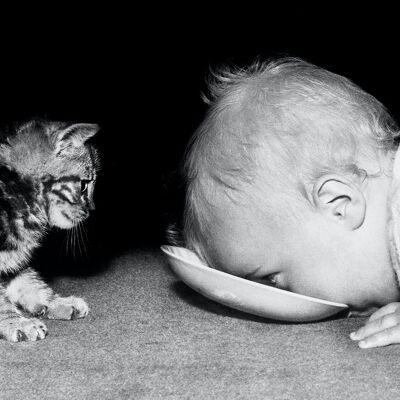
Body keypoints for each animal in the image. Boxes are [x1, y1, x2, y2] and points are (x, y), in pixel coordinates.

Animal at [0, 120, 99, 342]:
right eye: (84, 185)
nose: (92, 209)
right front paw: (16, 322)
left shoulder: (13, 256)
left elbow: (27, 281)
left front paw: (56, 302)